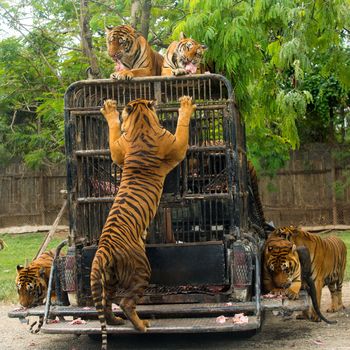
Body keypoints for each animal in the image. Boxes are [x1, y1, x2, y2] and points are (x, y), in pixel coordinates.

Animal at [91, 95, 197, 350]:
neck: (140, 122)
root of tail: (103, 248)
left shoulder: (117, 150)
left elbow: (113, 132)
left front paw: (109, 110)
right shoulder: (177, 146)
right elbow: (182, 127)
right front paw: (186, 105)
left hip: (109, 278)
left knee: (108, 302)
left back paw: (115, 321)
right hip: (141, 269)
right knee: (127, 302)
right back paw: (141, 325)